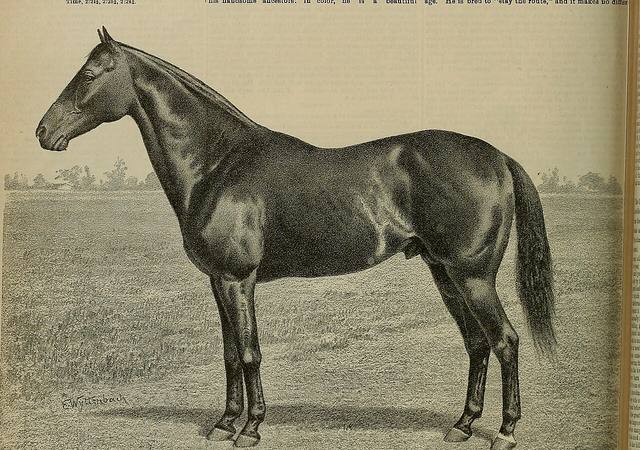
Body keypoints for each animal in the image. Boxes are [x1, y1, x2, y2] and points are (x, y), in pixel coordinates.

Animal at [36, 28, 556, 450]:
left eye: (89, 74)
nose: (44, 132)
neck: (218, 164)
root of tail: (498, 157)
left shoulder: (238, 279)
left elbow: (249, 352)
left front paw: (250, 429)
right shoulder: (218, 281)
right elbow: (229, 353)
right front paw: (224, 423)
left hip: (473, 277)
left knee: (504, 341)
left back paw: (505, 432)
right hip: (445, 274)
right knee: (477, 343)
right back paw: (463, 426)